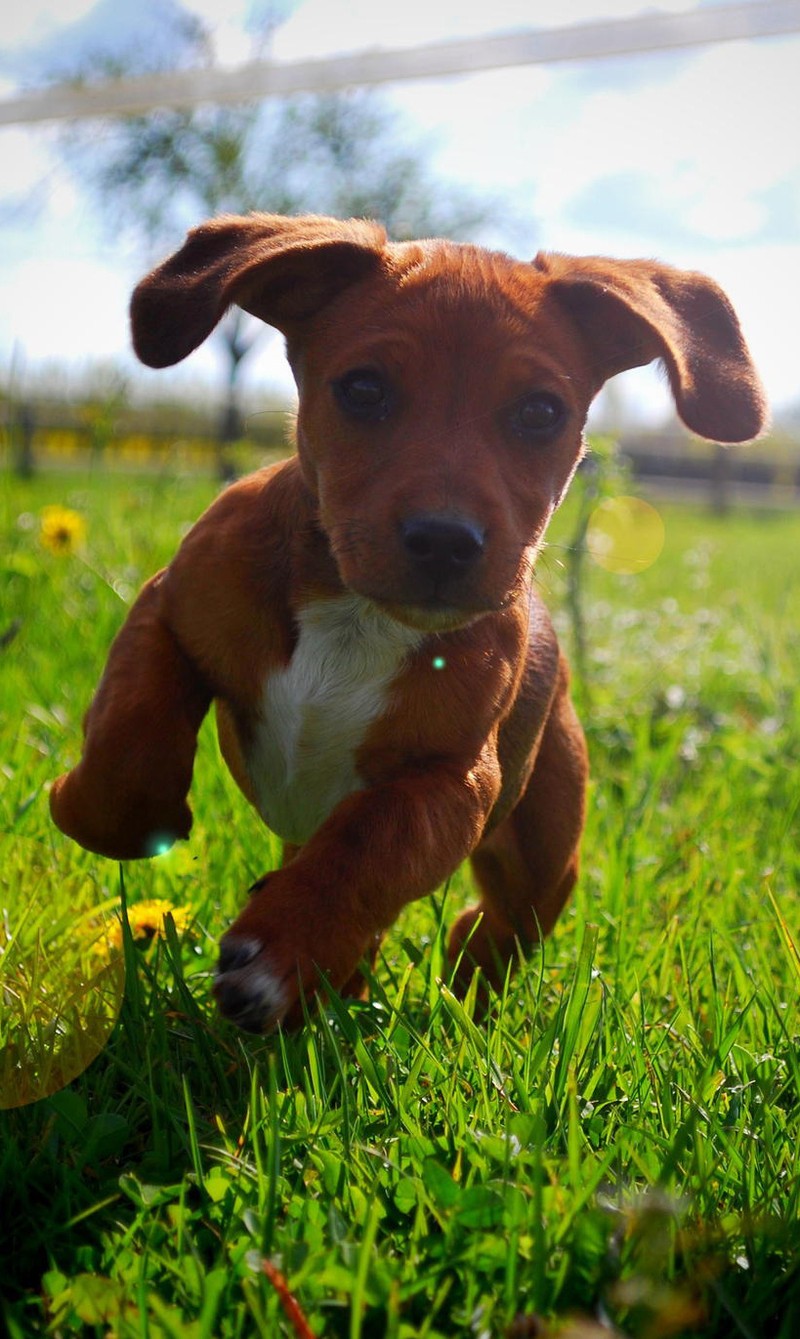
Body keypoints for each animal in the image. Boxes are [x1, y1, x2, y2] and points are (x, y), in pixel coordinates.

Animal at [48, 214, 761, 1028]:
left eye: (541, 412)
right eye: (363, 390)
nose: (445, 539)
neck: (358, 615)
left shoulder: (453, 779)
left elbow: (371, 842)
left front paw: (284, 950)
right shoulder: (168, 608)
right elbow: (126, 753)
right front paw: (77, 800)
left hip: (544, 844)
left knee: (504, 919)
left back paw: (452, 978)